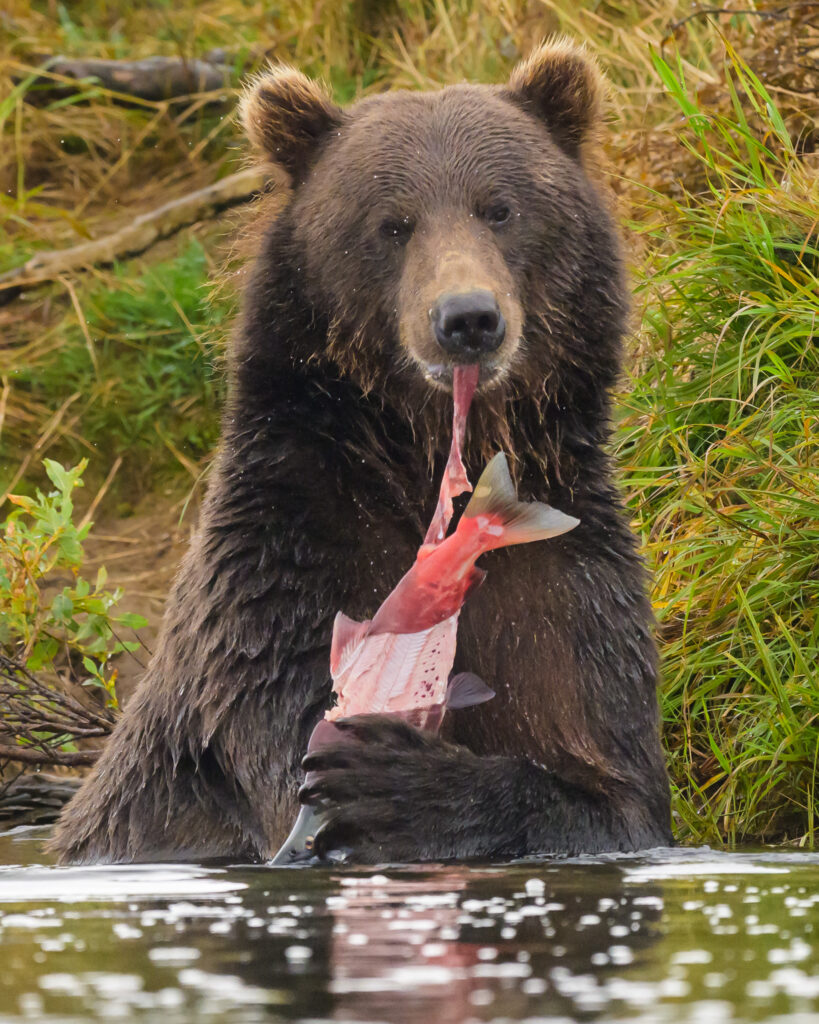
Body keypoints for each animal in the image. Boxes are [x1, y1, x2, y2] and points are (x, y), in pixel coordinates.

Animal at [49, 39, 673, 865]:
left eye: (500, 208)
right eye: (392, 223)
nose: (467, 319)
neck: (419, 459)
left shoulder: (564, 584)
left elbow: (612, 788)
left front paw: (400, 782)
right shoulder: (289, 560)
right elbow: (283, 728)